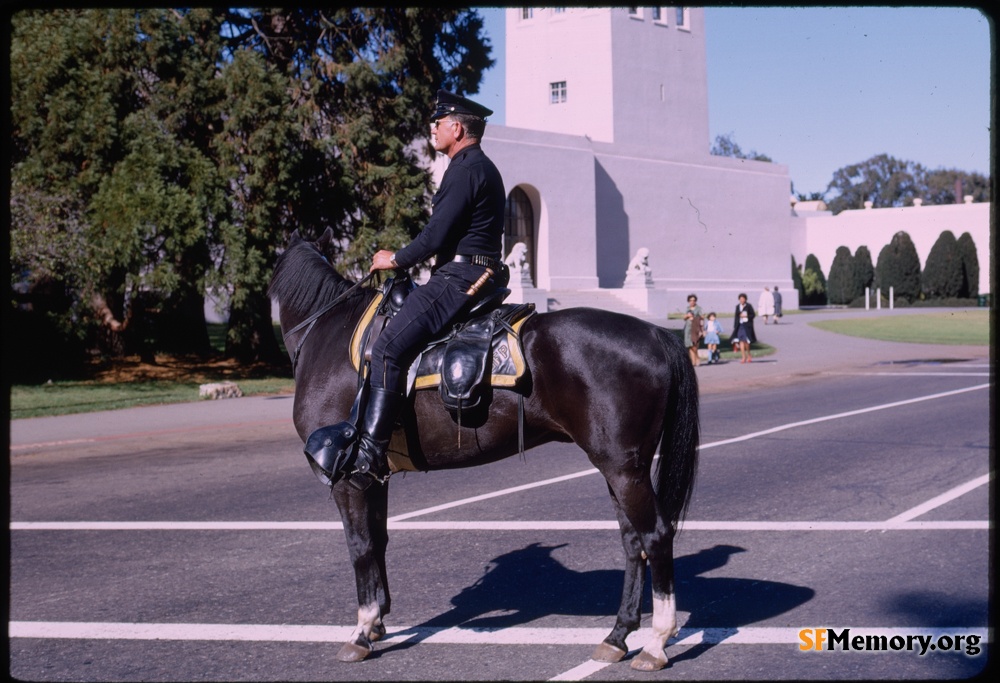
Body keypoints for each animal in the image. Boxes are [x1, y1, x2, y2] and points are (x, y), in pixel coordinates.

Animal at [270, 231, 700, 672]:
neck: (329, 334)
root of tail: (657, 334)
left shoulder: (347, 479)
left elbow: (360, 545)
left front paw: (362, 629)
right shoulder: (375, 475)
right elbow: (379, 539)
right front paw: (377, 623)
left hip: (624, 469)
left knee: (655, 536)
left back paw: (656, 642)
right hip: (619, 468)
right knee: (633, 541)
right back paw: (617, 636)